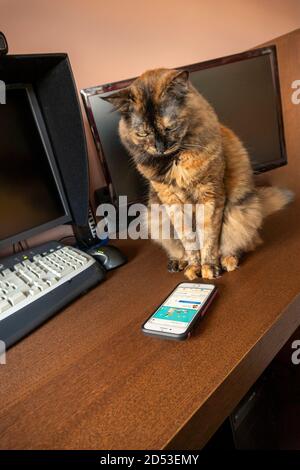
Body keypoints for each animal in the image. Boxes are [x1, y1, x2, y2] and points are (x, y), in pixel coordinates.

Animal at [103, 70, 292, 280]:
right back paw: (179, 262)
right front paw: (194, 267)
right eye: (143, 134)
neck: (174, 161)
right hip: (157, 218)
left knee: (243, 243)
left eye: (170, 127)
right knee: (180, 249)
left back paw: (228, 260)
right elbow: (189, 240)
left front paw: (209, 268)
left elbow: (208, 239)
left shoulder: (209, 196)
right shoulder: (172, 202)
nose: (160, 148)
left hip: (240, 212)